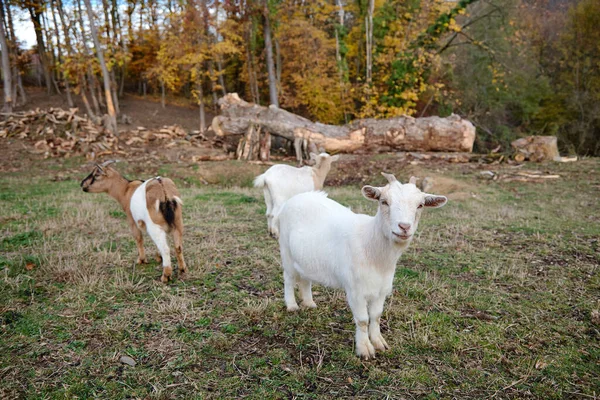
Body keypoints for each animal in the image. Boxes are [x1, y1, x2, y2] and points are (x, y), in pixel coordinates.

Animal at [276, 172, 446, 360]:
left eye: (420, 205)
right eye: (384, 201)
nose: (404, 227)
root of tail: (295, 199)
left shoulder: (381, 289)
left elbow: (376, 316)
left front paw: (379, 342)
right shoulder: (355, 289)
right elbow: (363, 320)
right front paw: (364, 349)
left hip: (305, 258)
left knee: (305, 279)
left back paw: (309, 303)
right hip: (285, 250)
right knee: (288, 278)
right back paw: (292, 305)